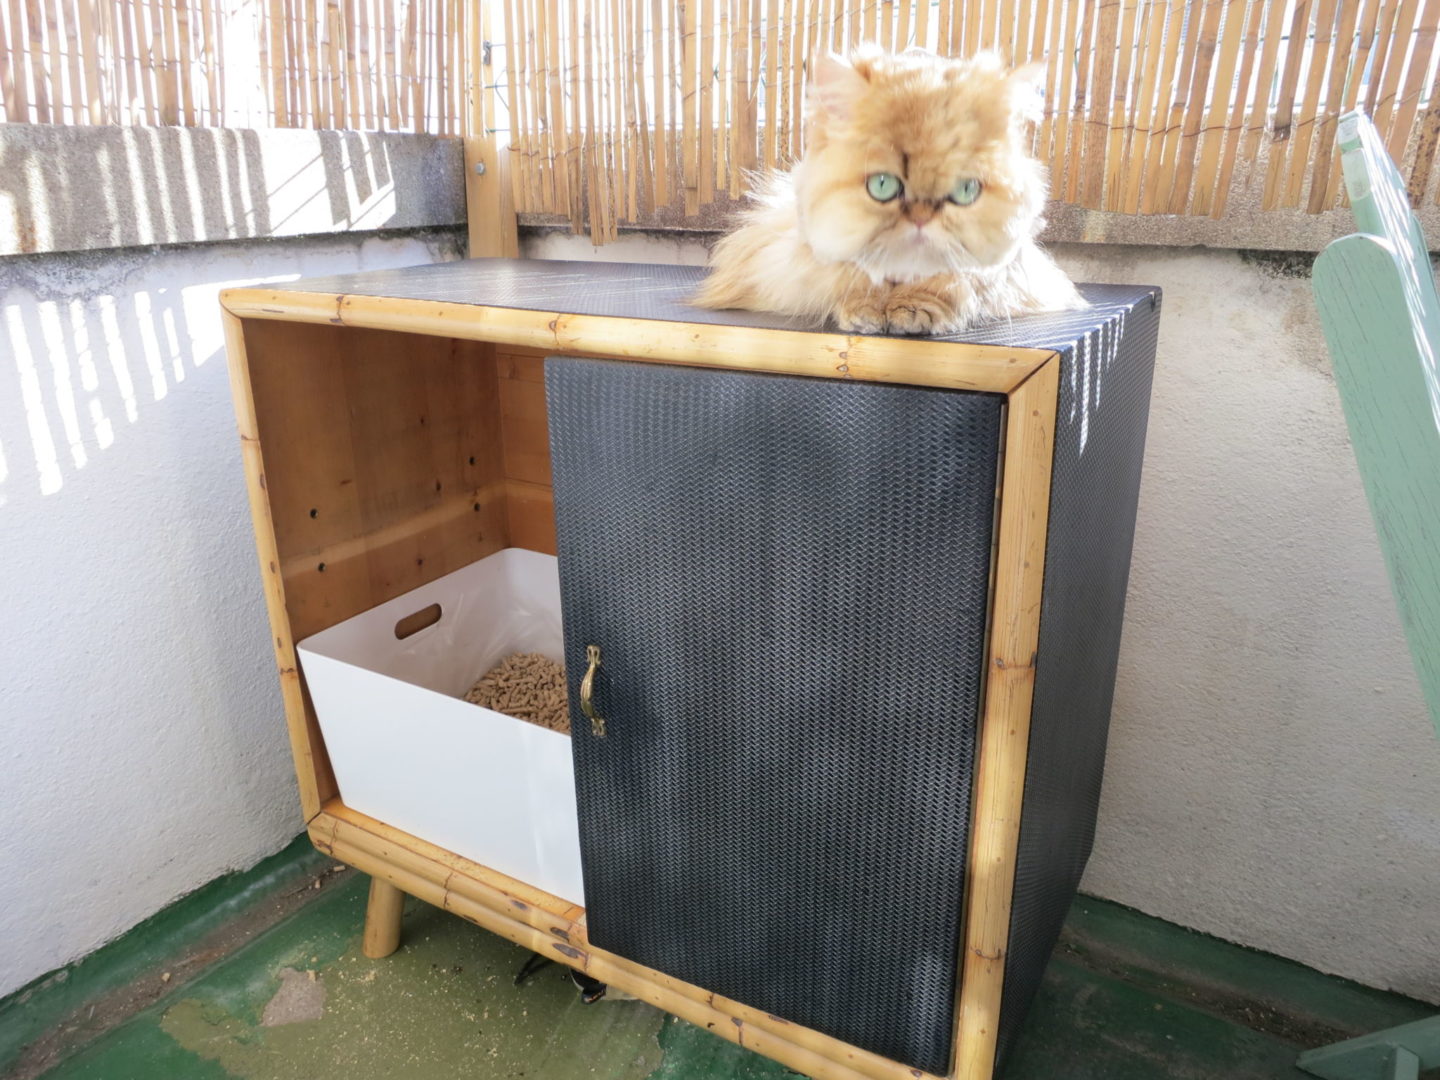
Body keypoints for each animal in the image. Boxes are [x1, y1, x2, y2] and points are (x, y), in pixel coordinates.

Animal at [694, 47, 1082, 334]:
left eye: (965, 190)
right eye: (882, 185)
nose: (922, 218)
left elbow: (950, 279)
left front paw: (912, 307)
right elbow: (856, 274)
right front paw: (866, 308)